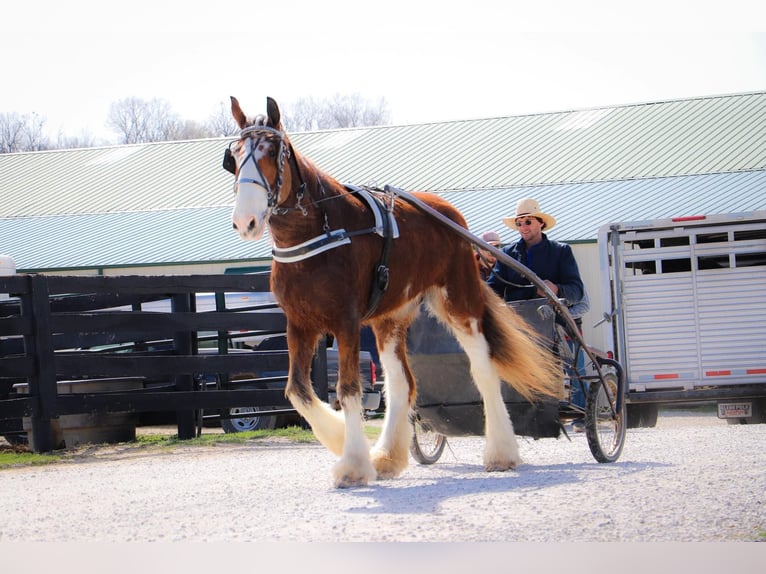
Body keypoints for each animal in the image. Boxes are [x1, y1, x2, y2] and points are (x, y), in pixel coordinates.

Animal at [225, 97, 560, 488]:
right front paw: (346, 444)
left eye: (272, 151)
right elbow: (298, 391)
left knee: (483, 369)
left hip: (459, 302)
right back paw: (387, 456)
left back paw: (500, 453)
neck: (316, 234)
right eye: (234, 155)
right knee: (402, 385)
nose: (245, 221)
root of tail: (451, 217)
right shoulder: (300, 324)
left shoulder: (346, 322)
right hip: (390, 320)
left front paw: (353, 464)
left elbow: (348, 389)